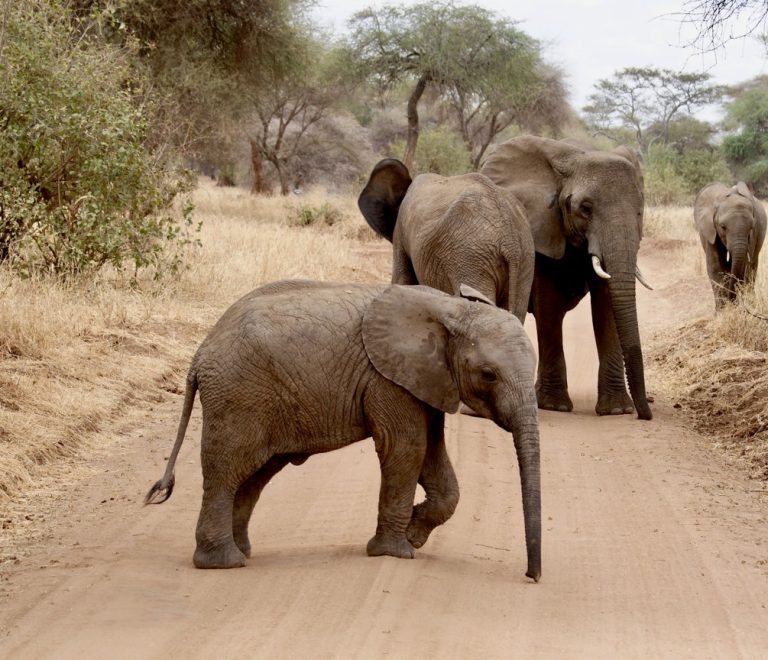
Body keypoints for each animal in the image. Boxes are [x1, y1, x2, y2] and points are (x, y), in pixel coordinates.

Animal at [145, 279, 541, 582]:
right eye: (488, 375)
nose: (531, 576)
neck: (451, 308)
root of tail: (199, 354)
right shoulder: (387, 379)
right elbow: (406, 448)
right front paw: (395, 552)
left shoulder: (424, 380)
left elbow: (431, 453)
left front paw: (413, 535)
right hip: (238, 396)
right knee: (227, 472)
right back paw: (223, 563)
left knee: (254, 477)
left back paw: (241, 551)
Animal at [480, 135, 653, 420]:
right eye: (586, 208)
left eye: (640, 212)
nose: (644, 414)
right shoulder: (542, 225)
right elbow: (548, 303)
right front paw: (555, 406)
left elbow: (607, 305)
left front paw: (617, 410)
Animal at [693, 181, 766, 311]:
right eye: (722, 227)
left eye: (751, 227)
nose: (732, 300)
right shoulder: (709, 231)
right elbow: (715, 266)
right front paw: (722, 312)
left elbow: (743, 266)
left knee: (752, 266)